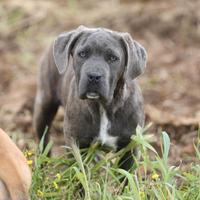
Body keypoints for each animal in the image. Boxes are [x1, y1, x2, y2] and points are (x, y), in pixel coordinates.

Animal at [33, 25, 147, 169]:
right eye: (82, 54)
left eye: (113, 58)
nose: (94, 76)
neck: (103, 106)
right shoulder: (75, 142)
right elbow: (78, 170)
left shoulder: (130, 146)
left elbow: (126, 173)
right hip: (44, 105)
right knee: (44, 139)